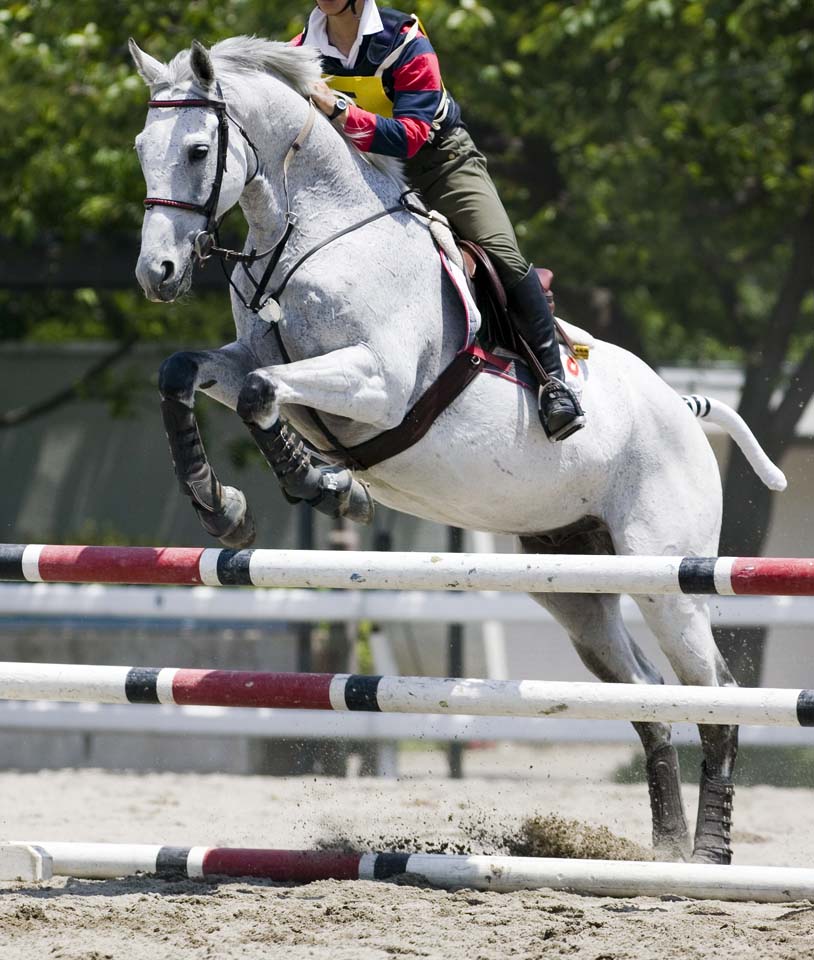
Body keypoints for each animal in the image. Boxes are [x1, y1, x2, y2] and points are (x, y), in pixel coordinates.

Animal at [131, 37, 788, 868]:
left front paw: (328, 486)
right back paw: (665, 852)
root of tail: (681, 407)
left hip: (668, 579)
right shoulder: (252, 358)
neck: (312, 233)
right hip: (576, 587)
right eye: (139, 149)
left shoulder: (377, 384)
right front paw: (222, 507)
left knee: (715, 697)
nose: (157, 274)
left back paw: (706, 857)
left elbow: (259, 396)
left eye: (195, 149)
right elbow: (186, 374)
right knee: (644, 697)